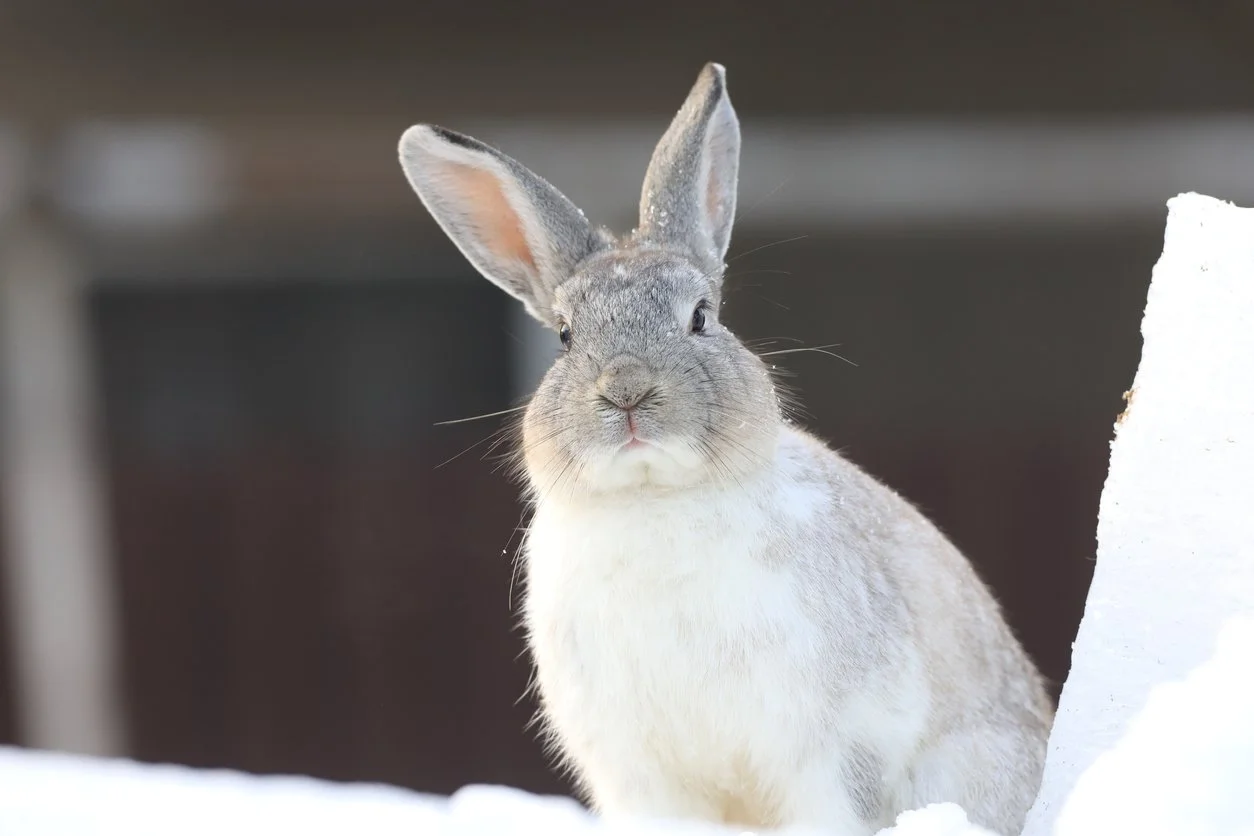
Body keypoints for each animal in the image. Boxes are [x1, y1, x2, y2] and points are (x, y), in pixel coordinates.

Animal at [397, 62, 1053, 835]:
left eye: (701, 317)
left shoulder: (831, 756)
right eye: (563, 335)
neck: (653, 497)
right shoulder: (641, 778)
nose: (627, 391)